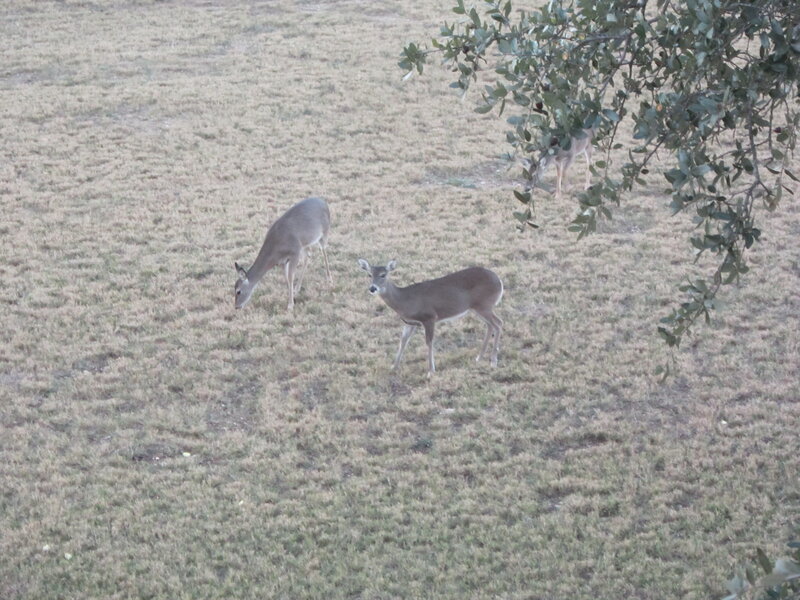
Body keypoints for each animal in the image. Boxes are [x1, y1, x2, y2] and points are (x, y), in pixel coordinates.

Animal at [357, 259, 503, 376]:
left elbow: (429, 342)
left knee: (498, 323)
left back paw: (493, 361)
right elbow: (403, 341)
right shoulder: (409, 322)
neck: (405, 301)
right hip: (477, 308)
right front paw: (394, 367)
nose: (372, 288)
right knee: (491, 325)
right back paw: (479, 357)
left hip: (484, 305)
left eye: (383, 275)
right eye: (369, 274)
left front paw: (431, 371)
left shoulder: (430, 317)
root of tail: (500, 282)